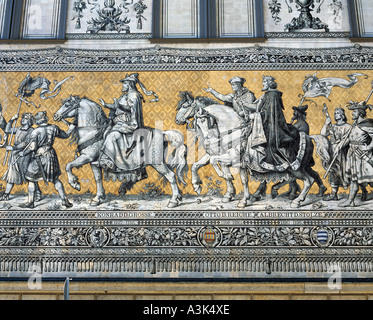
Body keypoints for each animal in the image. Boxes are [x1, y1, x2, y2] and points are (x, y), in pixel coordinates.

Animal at [54, 95, 189, 208]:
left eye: (67, 104)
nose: (55, 116)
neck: (93, 130)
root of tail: (163, 133)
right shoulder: (93, 162)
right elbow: (98, 179)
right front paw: (98, 198)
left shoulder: (87, 157)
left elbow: (68, 165)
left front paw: (75, 184)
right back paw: (178, 197)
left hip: (157, 163)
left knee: (171, 176)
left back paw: (173, 201)